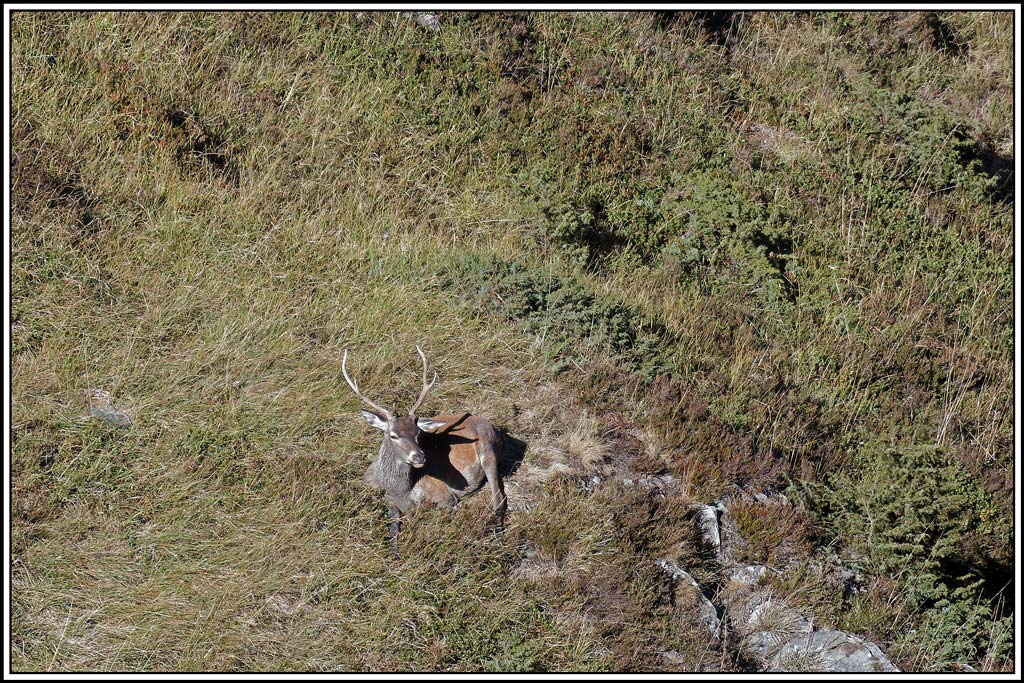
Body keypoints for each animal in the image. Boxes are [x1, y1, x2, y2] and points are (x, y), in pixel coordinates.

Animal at [342, 345, 508, 558]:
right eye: (393, 435)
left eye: (417, 433)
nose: (420, 456)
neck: (400, 490)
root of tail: (498, 431)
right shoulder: (388, 500)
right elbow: (393, 531)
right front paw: (395, 554)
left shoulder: (445, 497)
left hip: (489, 451)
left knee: (499, 499)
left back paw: (498, 539)